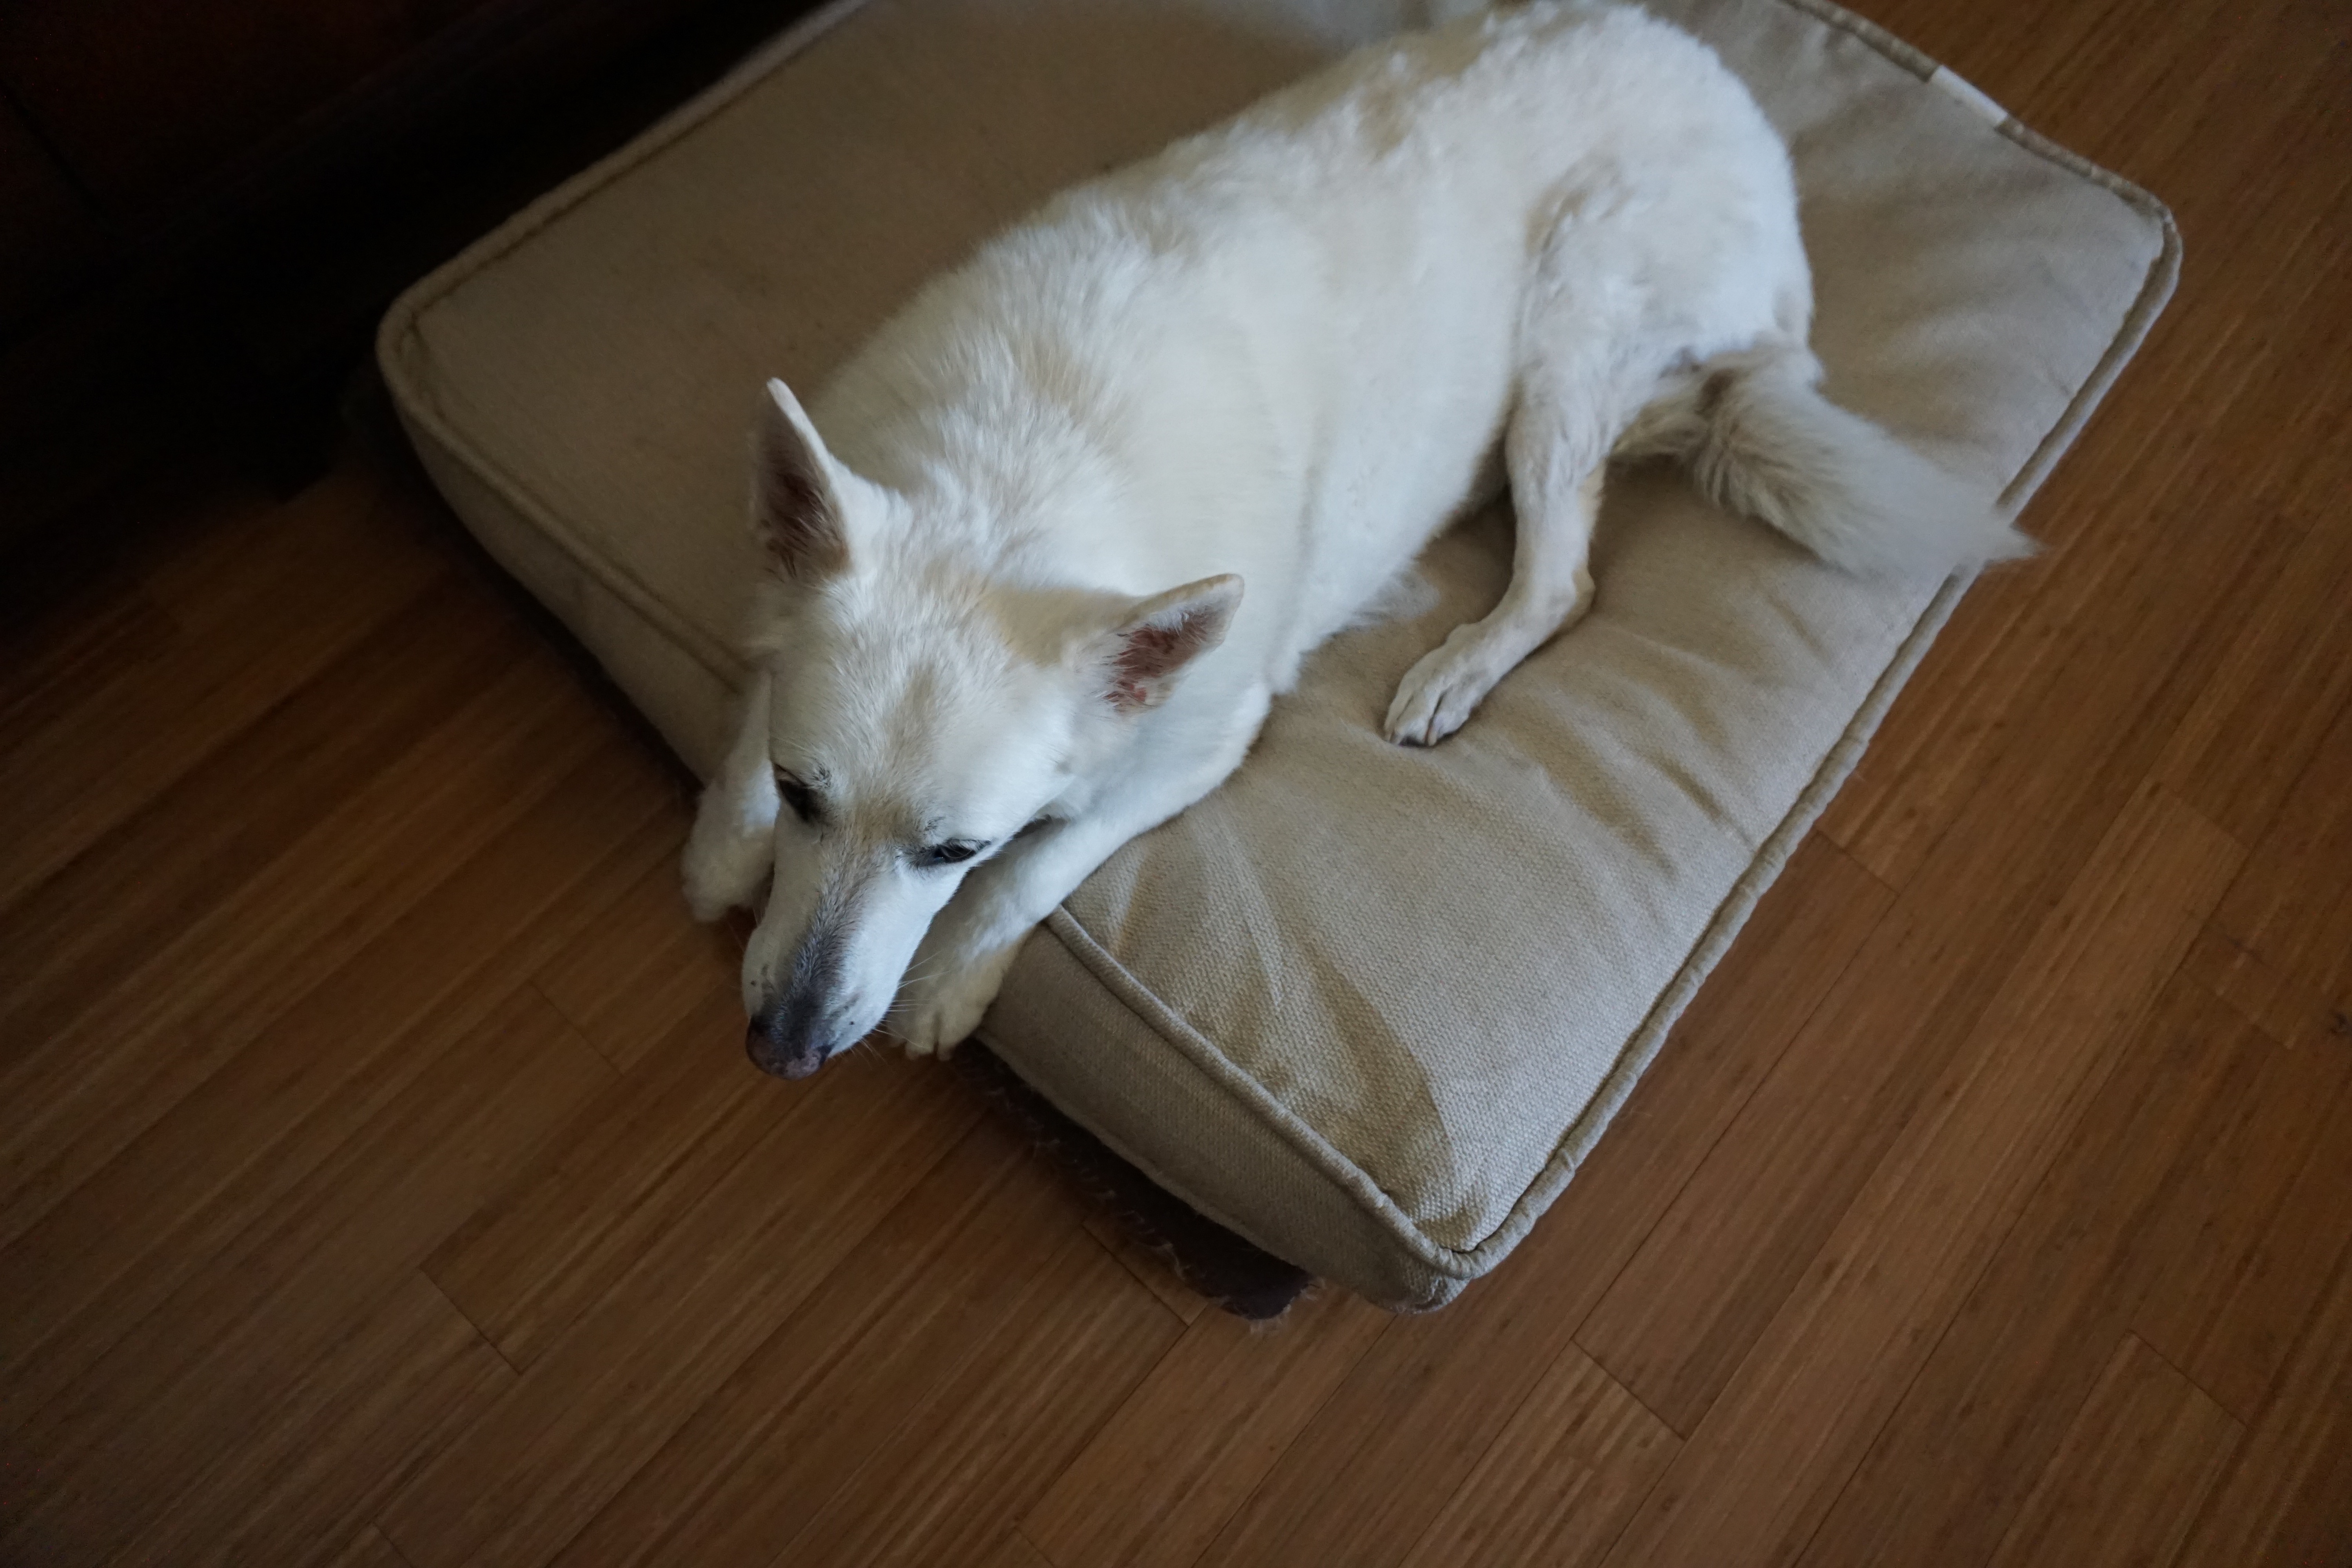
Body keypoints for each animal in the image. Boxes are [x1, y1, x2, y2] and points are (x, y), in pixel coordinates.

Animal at [682, 1, 2027, 1080]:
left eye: (955, 848)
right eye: (806, 797)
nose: (781, 1052)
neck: (1017, 480)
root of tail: (1732, 97)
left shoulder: (1201, 746)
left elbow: (1044, 867)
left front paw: (949, 977)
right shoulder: (786, 629)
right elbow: (752, 722)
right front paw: (720, 852)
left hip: (1571, 323)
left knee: (1563, 582)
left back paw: (1455, 669)